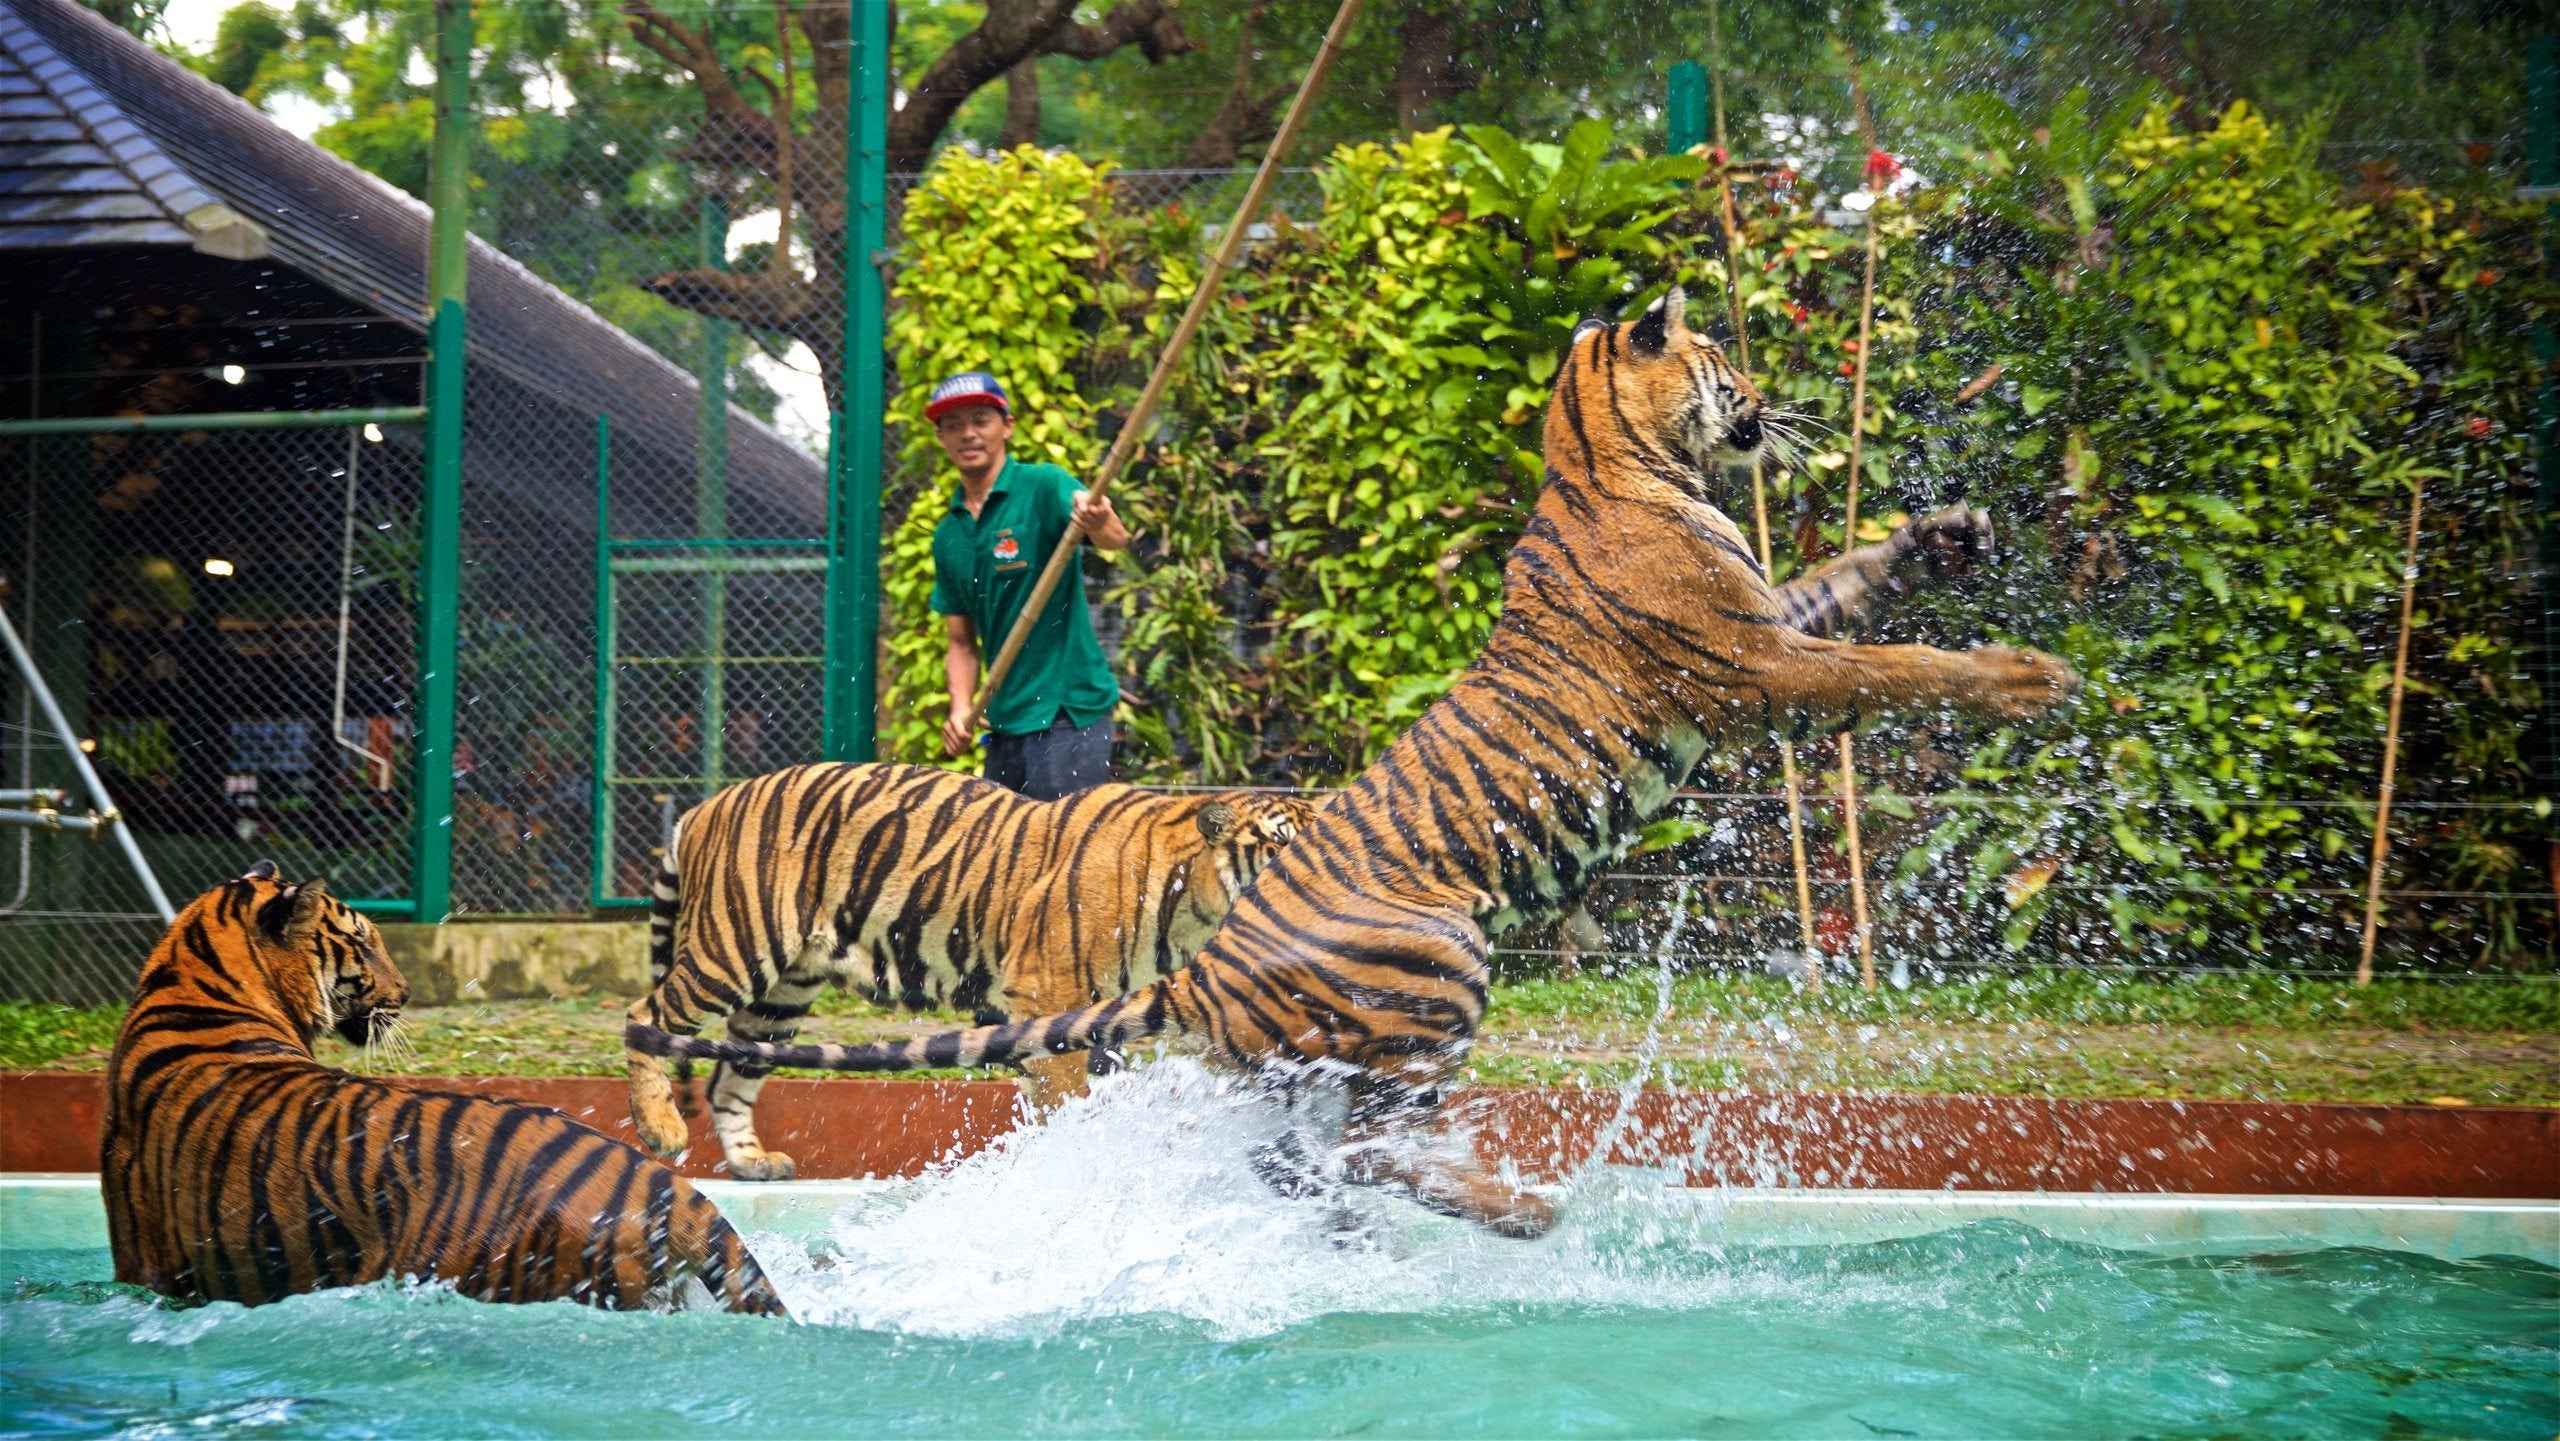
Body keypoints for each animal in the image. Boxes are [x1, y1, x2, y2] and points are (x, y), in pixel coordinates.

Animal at [626, 763, 1318, 1180]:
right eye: (1280, 844)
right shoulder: (1048, 994)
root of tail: (704, 806)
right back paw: (660, 1129)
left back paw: (752, 1163)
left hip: (784, 993)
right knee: (645, 1016)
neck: (1193, 908)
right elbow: (1065, 1093)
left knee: (731, 1073)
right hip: (732, 947)